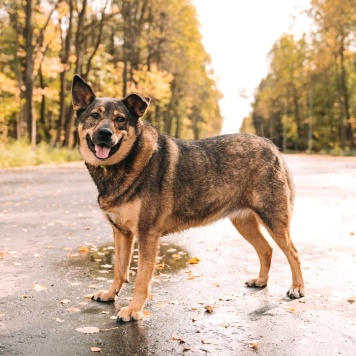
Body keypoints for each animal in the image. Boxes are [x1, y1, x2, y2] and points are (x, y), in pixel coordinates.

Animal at [71, 75, 304, 322]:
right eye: (94, 115)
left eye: (120, 119)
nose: (105, 133)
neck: (123, 165)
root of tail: (270, 145)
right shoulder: (122, 233)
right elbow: (119, 270)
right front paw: (110, 294)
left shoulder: (147, 235)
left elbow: (141, 279)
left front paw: (134, 310)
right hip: (244, 223)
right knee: (266, 249)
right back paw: (261, 281)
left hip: (274, 220)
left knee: (293, 253)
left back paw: (297, 288)